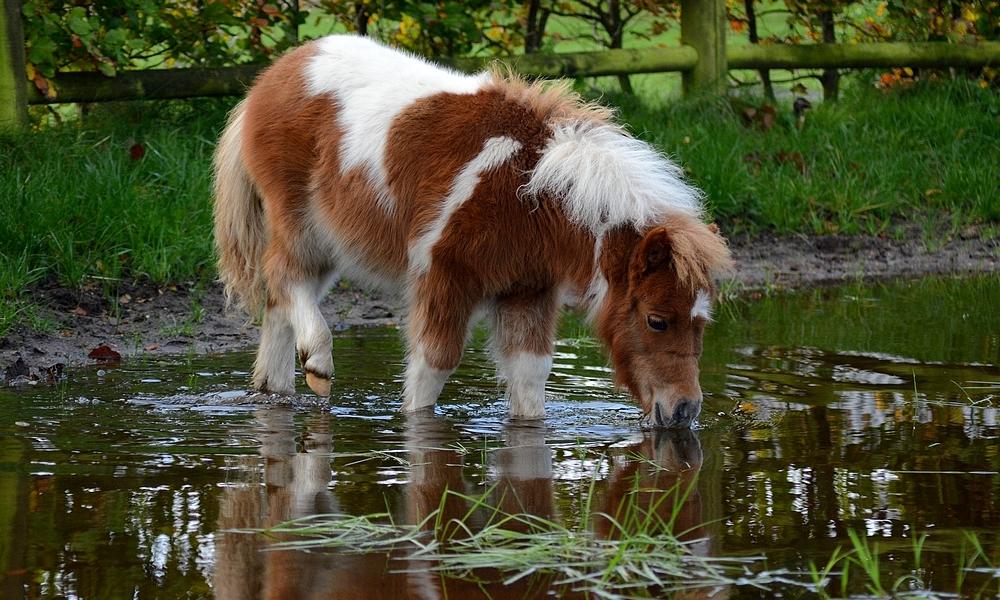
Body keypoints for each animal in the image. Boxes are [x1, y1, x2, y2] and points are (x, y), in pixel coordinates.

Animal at [213, 34, 728, 426]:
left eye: (702, 322)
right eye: (657, 320)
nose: (684, 410)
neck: (530, 193)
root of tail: (275, 75)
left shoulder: (527, 293)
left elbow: (530, 380)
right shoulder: (445, 279)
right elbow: (432, 371)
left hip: (327, 243)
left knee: (280, 302)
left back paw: (275, 393)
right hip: (301, 224)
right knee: (283, 277)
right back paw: (318, 363)